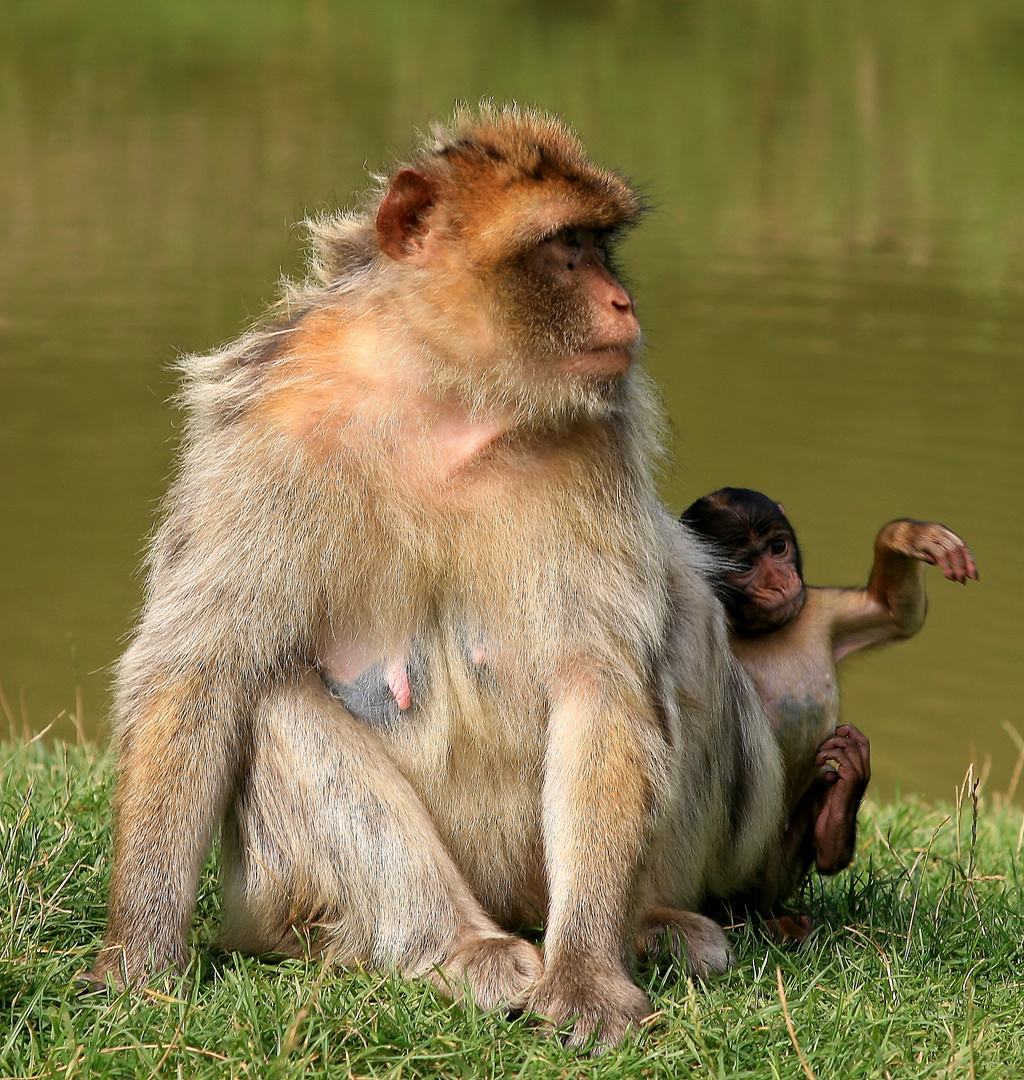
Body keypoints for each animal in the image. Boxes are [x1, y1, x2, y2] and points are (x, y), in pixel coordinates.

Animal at [88, 109, 782, 1045]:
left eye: (599, 244)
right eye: (565, 247)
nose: (623, 303)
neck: (445, 392)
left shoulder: (591, 444)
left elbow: (599, 682)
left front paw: (589, 974)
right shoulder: (268, 433)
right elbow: (200, 671)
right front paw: (140, 954)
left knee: (688, 626)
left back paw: (647, 924)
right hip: (282, 901)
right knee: (269, 700)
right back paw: (455, 946)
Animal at [678, 490, 976, 937]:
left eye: (778, 548)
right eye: (746, 566)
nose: (779, 582)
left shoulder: (817, 607)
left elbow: (894, 614)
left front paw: (913, 537)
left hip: (777, 875)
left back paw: (835, 819)